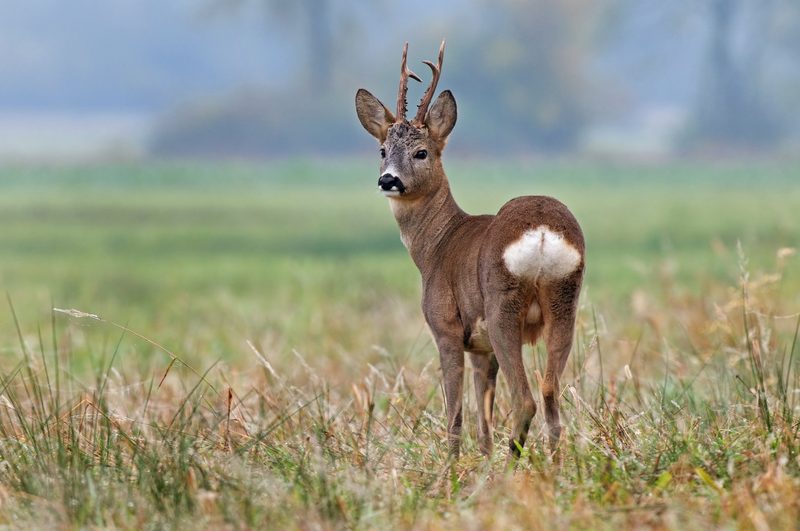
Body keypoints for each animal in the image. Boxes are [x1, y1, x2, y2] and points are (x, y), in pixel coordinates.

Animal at [355, 41, 585, 461]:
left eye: (422, 152)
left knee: (526, 399)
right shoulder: (481, 348)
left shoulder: (446, 328)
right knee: (550, 393)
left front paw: (452, 468)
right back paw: (556, 468)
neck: (436, 245)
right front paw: (482, 464)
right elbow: (484, 421)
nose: (388, 180)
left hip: (502, 308)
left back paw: (514, 465)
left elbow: (456, 415)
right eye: (382, 150)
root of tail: (543, 232)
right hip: (564, 303)